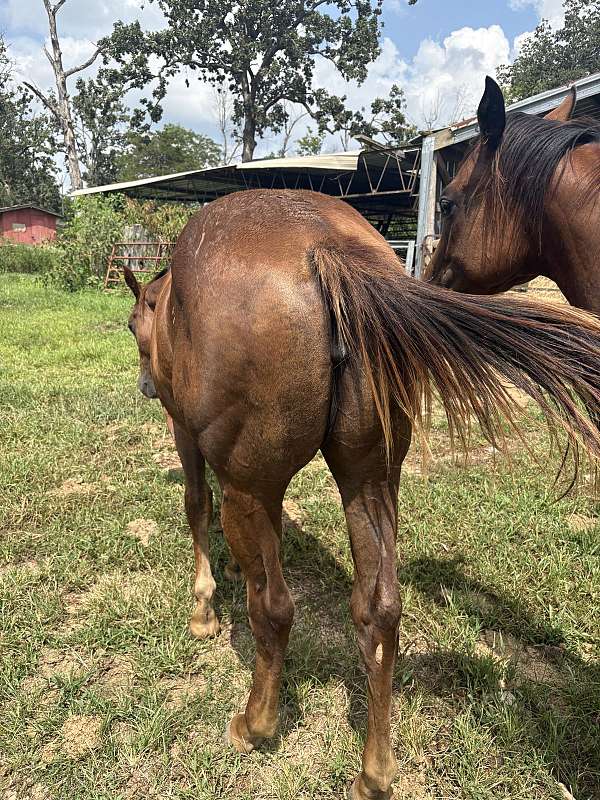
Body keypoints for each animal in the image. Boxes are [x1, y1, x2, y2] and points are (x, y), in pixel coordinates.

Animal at [124, 188, 600, 800]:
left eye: (133, 325)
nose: (142, 384)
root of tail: (326, 248)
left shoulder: (185, 434)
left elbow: (197, 508)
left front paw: (204, 606)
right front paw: (229, 571)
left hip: (252, 485)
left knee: (274, 608)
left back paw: (256, 723)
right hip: (369, 479)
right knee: (381, 610)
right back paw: (374, 771)